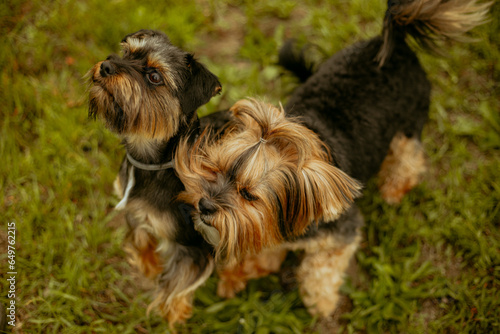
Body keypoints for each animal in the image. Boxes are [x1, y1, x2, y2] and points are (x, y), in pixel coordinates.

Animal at [88, 30, 229, 324]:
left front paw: (173, 316)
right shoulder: (134, 209)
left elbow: (177, 284)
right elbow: (141, 239)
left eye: (154, 76)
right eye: (126, 53)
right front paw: (149, 266)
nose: (106, 66)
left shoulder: (193, 245)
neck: (154, 164)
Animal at [174, 0, 490, 318]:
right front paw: (238, 274)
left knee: (408, 155)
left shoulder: (341, 233)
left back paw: (394, 189)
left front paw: (321, 302)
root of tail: (393, 42)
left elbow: (320, 268)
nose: (205, 205)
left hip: (409, 124)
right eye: (214, 169)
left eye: (248, 195)